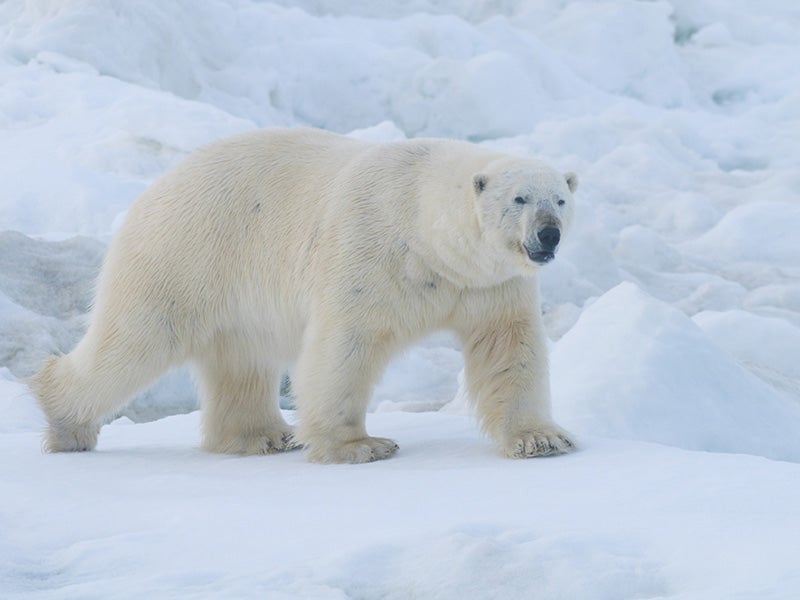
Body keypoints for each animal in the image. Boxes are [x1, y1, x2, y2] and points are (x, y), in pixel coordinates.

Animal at [31, 127, 580, 464]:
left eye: (560, 199)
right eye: (519, 199)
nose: (548, 235)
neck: (425, 235)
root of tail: (153, 190)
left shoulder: (488, 286)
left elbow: (509, 349)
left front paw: (542, 438)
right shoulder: (370, 254)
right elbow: (344, 344)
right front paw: (361, 445)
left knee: (242, 359)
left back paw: (265, 435)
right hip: (182, 255)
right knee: (134, 341)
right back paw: (66, 422)